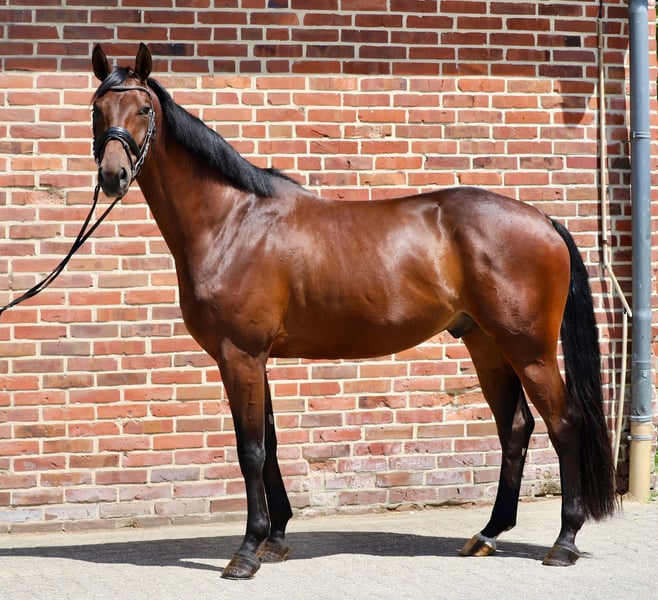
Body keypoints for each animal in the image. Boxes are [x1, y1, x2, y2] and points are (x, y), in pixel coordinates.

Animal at [90, 43, 616, 579]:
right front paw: (276, 539)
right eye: (97, 109)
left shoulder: (240, 356)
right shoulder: (256, 360)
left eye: (145, 109)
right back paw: (487, 534)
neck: (233, 221)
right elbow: (270, 445)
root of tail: (544, 220)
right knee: (516, 427)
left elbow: (251, 450)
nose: (112, 177)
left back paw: (564, 541)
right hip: (486, 343)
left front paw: (247, 550)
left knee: (564, 424)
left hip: (529, 349)